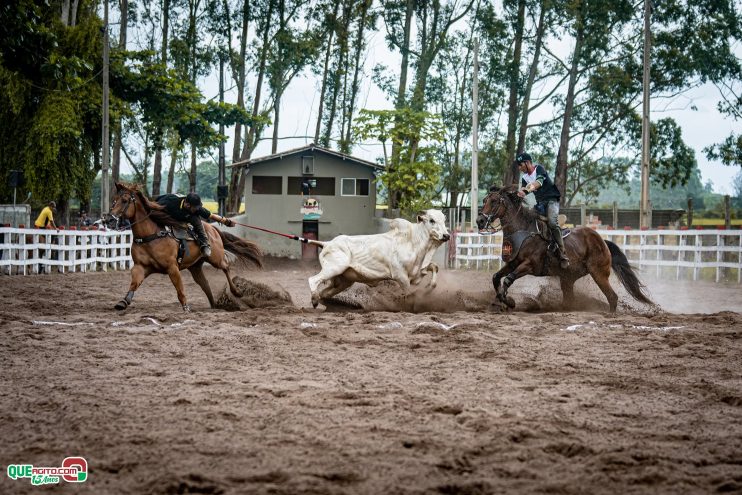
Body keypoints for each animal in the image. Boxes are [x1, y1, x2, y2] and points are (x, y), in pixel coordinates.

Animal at [109, 184, 264, 312]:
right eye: (114, 200)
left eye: (125, 200)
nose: (109, 219)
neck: (151, 235)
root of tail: (213, 229)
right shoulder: (141, 267)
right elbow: (134, 283)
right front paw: (123, 302)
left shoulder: (172, 268)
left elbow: (180, 288)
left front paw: (186, 307)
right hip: (195, 267)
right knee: (205, 283)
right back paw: (215, 305)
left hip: (216, 258)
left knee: (226, 267)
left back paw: (236, 292)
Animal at [306, 211, 450, 308]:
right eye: (432, 220)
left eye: (444, 220)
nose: (446, 235)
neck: (412, 241)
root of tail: (327, 243)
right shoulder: (400, 276)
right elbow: (408, 293)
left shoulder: (416, 273)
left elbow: (434, 267)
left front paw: (429, 287)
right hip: (334, 268)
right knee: (313, 280)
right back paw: (314, 300)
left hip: (344, 281)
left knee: (324, 293)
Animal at [480, 186, 652, 314]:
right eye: (484, 200)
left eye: (494, 201)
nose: (479, 220)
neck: (524, 231)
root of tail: (603, 242)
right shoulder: (513, 263)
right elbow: (496, 277)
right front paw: (499, 301)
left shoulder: (529, 265)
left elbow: (508, 279)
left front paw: (509, 301)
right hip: (568, 278)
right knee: (571, 299)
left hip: (599, 274)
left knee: (612, 297)